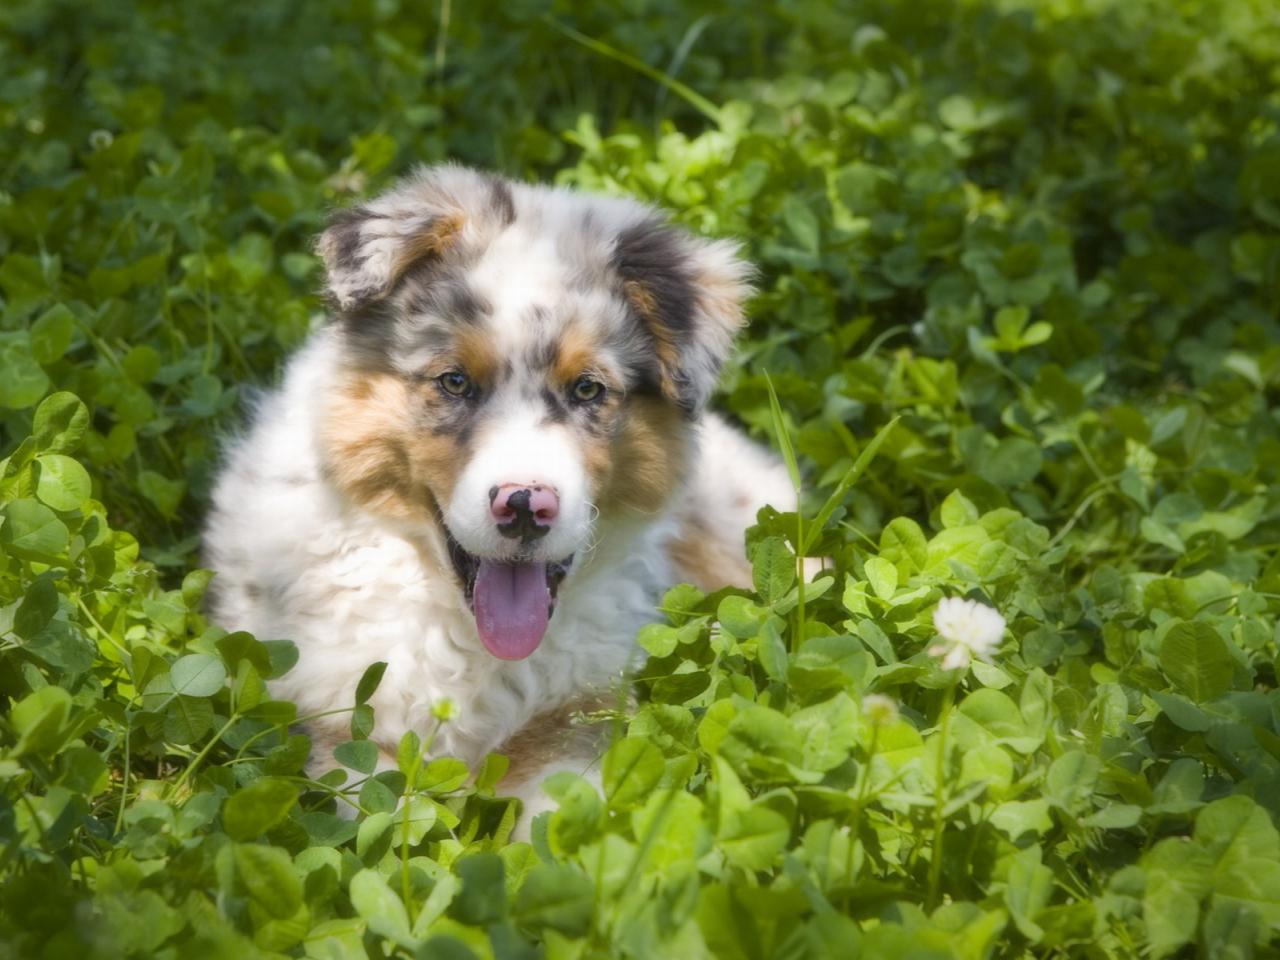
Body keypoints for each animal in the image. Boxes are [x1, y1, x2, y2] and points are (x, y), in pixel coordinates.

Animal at [203, 165, 793, 829]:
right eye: (454, 381)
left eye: (588, 389)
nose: (525, 507)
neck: (471, 639)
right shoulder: (338, 716)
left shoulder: (581, 715)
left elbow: (561, 821)